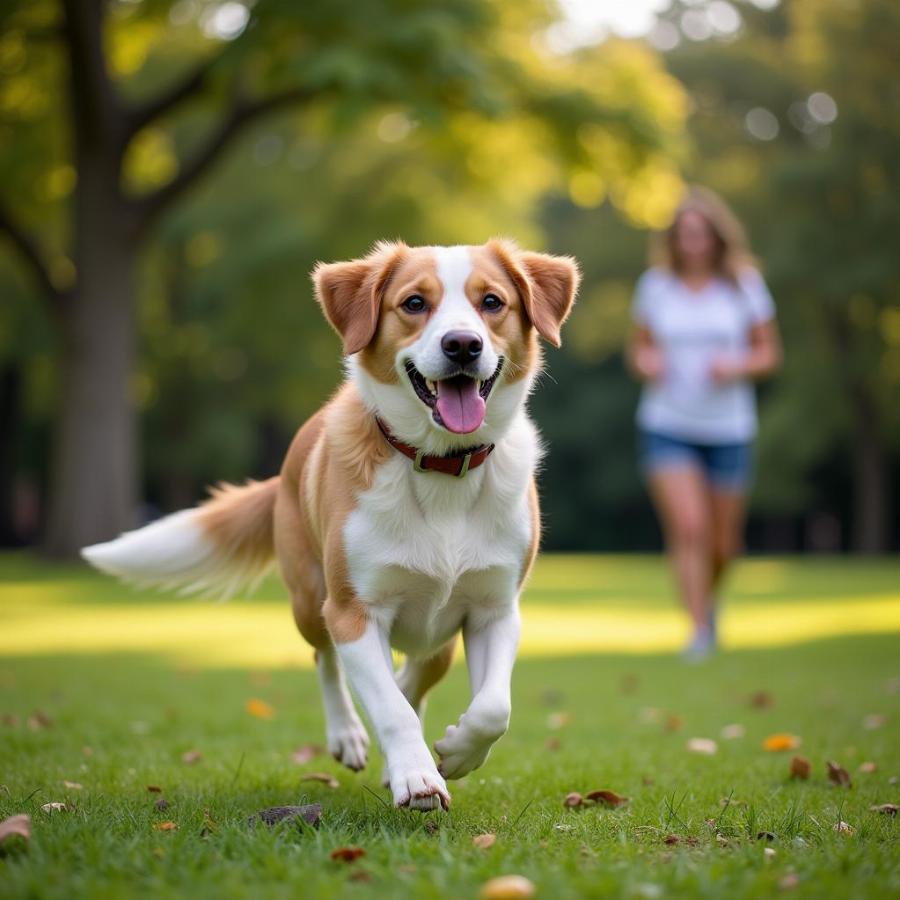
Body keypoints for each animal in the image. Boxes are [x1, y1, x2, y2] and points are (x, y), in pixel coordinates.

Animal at [82, 239, 576, 808]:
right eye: (414, 303)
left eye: (492, 301)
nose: (462, 345)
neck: (439, 465)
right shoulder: (353, 611)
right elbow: (388, 705)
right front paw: (416, 774)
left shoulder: (495, 610)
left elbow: (493, 709)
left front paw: (453, 753)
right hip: (309, 601)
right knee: (327, 662)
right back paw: (350, 735)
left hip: (439, 638)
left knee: (416, 674)